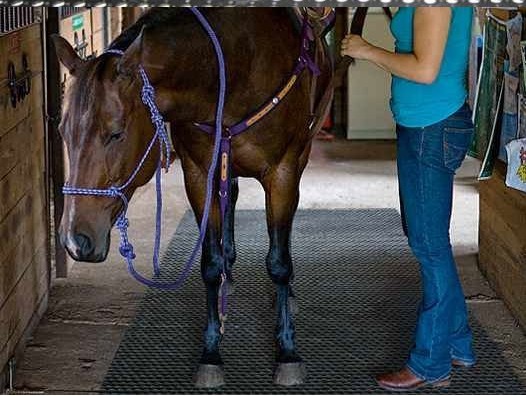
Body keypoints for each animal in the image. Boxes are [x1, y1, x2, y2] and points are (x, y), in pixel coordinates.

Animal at [53, 7, 334, 388]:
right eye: (62, 132)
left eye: (116, 133)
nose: (74, 241)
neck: (235, 67)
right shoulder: (199, 172)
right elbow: (210, 263)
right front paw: (211, 353)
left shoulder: (283, 172)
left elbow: (279, 262)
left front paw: (287, 352)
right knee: (230, 198)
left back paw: (286, 297)